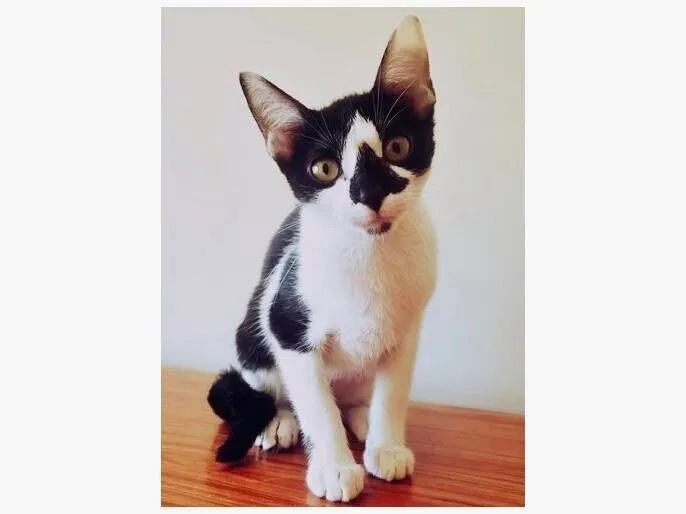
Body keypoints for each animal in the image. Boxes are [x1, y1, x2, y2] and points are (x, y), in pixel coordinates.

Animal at [207, 15, 437, 502]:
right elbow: (315, 403)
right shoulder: (287, 324)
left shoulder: (407, 330)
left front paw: (387, 445)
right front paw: (334, 467)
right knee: (272, 391)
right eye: (325, 169)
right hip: (252, 339)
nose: (370, 192)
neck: (369, 254)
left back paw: (363, 417)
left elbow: (393, 391)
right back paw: (279, 422)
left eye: (398, 147)